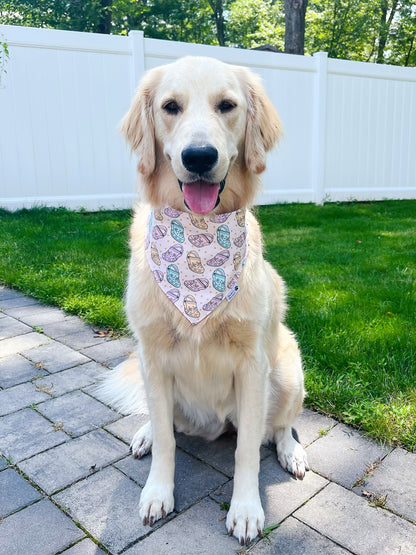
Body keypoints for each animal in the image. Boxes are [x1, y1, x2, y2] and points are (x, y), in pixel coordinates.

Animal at [102, 57, 308, 548]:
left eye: (227, 105)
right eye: (170, 107)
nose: (199, 157)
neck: (197, 237)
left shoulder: (252, 365)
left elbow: (248, 448)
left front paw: (247, 510)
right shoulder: (153, 356)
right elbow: (166, 439)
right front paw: (157, 492)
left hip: (287, 369)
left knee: (279, 427)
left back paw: (291, 452)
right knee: (166, 423)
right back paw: (144, 434)